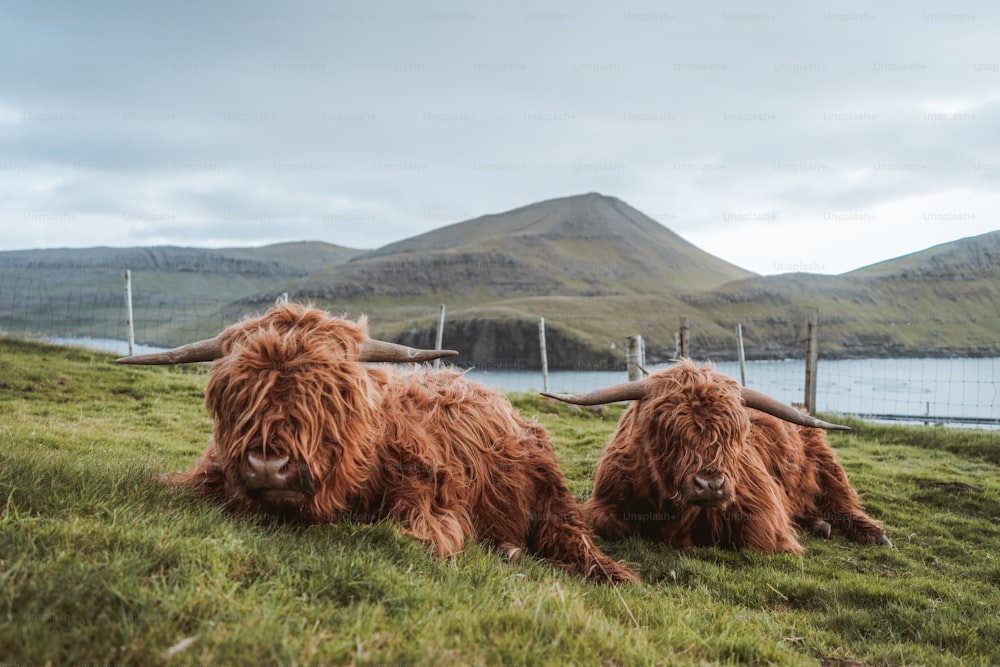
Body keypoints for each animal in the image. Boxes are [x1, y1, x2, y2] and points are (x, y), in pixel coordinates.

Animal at [117, 302, 632, 584]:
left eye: (330, 394)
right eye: (234, 391)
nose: (268, 465)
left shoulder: (429, 507)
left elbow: (403, 538)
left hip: (551, 495)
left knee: (571, 536)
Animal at [544, 360, 896, 552]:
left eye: (733, 431)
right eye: (666, 427)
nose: (710, 485)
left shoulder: (763, 511)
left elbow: (761, 538)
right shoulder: (605, 502)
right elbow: (608, 524)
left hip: (826, 463)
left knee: (842, 499)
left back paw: (873, 534)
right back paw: (821, 525)